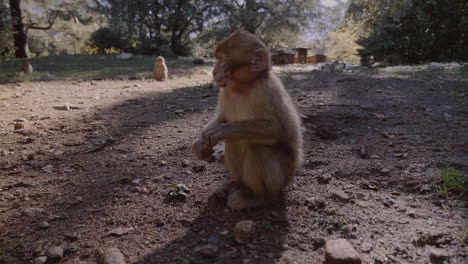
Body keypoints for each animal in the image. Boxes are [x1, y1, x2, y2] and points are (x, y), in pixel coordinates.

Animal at [191, 29, 304, 210]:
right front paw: (200, 142)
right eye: (217, 59)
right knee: (234, 142)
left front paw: (220, 131)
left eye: (222, 60)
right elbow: (222, 117)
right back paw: (236, 184)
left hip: (282, 178)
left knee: (258, 148)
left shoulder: (266, 90)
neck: (243, 87)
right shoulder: (225, 92)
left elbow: (280, 129)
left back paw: (259, 197)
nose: (214, 72)